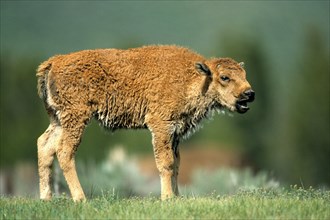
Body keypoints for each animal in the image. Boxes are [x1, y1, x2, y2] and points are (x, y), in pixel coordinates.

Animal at [36, 45, 254, 202]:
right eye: (225, 77)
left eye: (244, 75)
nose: (249, 93)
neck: (193, 78)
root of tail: (54, 62)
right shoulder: (161, 126)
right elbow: (166, 163)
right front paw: (167, 198)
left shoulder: (175, 133)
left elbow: (177, 164)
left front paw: (177, 196)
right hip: (76, 118)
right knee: (64, 151)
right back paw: (80, 199)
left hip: (57, 119)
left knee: (45, 146)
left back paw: (46, 198)